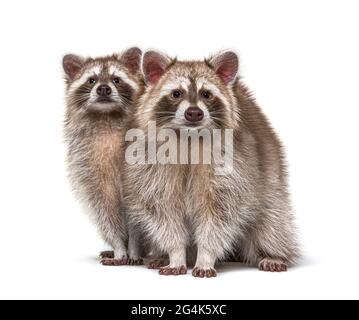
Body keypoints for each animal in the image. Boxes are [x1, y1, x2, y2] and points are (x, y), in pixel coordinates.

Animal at [63, 47, 143, 266]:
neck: (107, 116)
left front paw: (134, 248)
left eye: (116, 79)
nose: (104, 89)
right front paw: (119, 248)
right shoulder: (87, 166)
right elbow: (105, 212)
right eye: (91, 80)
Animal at [124, 48, 300, 276]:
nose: (194, 113)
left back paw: (272, 254)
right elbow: (164, 214)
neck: (189, 136)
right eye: (176, 93)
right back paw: (161, 255)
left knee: (272, 222)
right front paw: (175, 255)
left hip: (271, 185)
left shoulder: (235, 165)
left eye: (206, 94)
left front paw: (205, 257)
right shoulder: (151, 165)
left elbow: (219, 216)